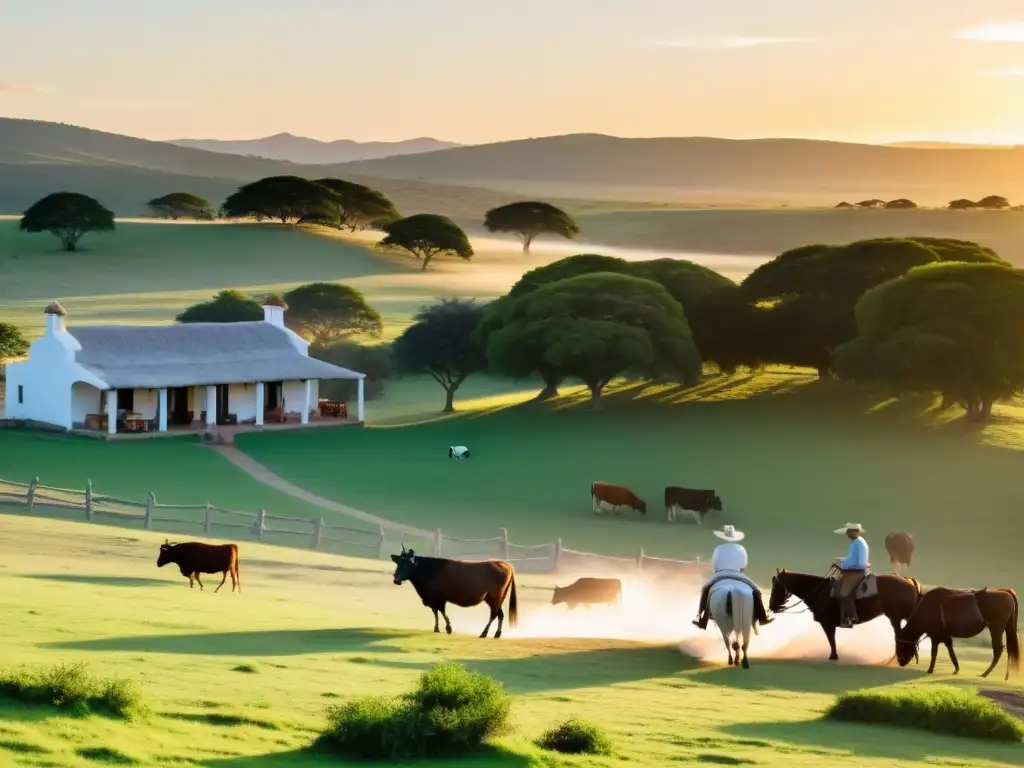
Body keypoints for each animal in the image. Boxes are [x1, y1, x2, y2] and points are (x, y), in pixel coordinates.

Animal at [391, 548, 520, 638]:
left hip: (494, 596)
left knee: (494, 614)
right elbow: (435, 612)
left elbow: (441, 611)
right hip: (495, 598)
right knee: (500, 614)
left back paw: (484, 633)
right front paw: (436, 628)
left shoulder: (439, 597)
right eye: (399, 563)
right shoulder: (432, 598)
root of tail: (505, 564)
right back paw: (497, 634)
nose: (396, 579)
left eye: (408, 564)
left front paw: (448, 628)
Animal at [770, 569, 929, 663]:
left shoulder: (827, 624)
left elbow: (831, 640)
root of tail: (908, 580)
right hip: (896, 617)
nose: (772, 606)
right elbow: (832, 640)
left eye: (777, 586)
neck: (820, 591)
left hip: (898, 617)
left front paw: (833, 657)